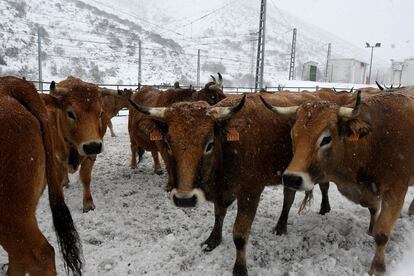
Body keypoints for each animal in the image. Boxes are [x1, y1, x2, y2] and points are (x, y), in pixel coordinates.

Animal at [41, 76, 118, 212]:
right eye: (70, 113)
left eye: (100, 113)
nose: (93, 146)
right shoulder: (55, 157)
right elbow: (58, 179)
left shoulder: (91, 155)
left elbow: (85, 177)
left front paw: (88, 203)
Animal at [264, 89, 414, 274]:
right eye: (293, 136)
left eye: (326, 139)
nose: (292, 178)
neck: (372, 144)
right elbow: (373, 210)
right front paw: (370, 229)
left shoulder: (396, 189)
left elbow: (382, 233)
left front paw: (378, 267)